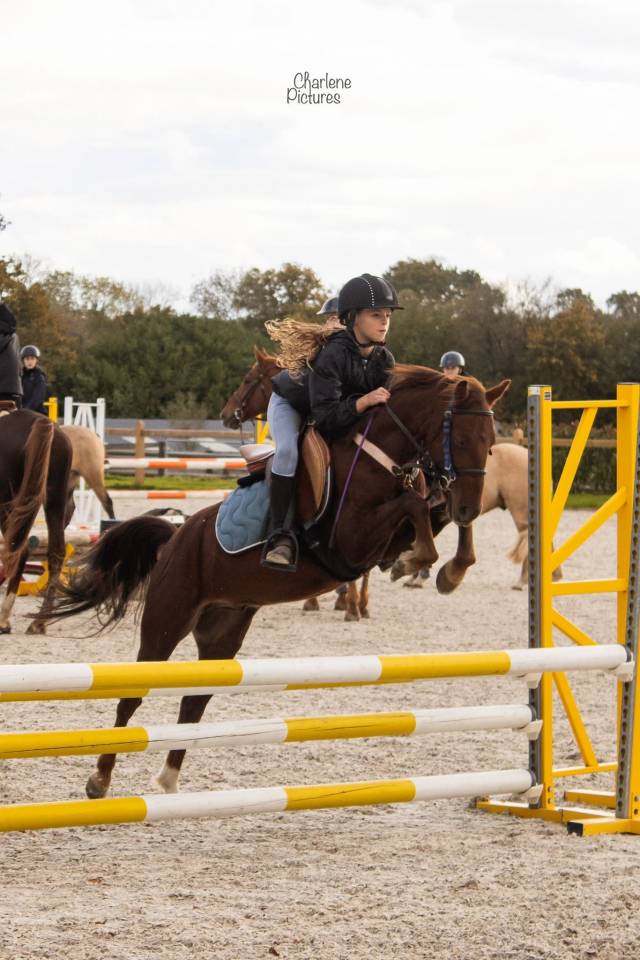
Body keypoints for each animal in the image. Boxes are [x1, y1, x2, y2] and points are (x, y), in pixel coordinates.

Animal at [0, 411, 75, 634]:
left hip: (9, 504)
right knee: (55, 553)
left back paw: (4, 619)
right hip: (52, 498)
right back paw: (39, 621)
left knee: (17, 550)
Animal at [50, 367, 509, 799]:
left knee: (194, 700)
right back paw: (100, 780)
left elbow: (431, 512)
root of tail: (175, 537)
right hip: (168, 619)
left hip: (223, 631)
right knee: (135, 694)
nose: (470, 506)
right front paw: (420, 561)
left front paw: (443, 568)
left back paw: (167, 779)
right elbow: (415, 504)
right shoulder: (351, 540)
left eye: (490, 444)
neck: (379, 455)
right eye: (462, 440)